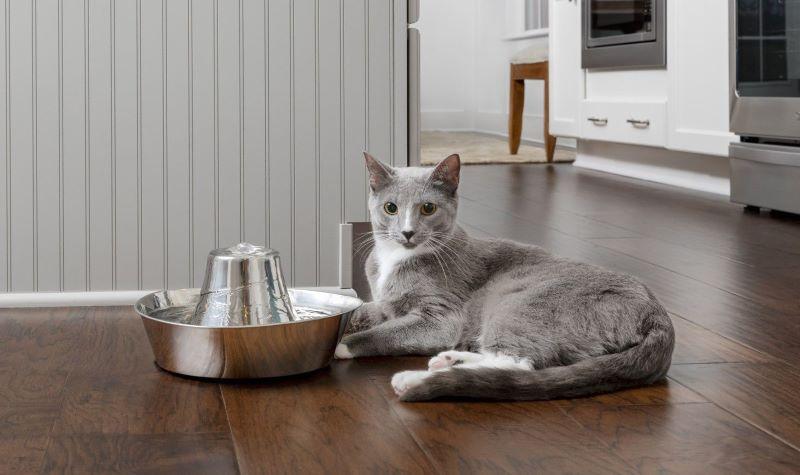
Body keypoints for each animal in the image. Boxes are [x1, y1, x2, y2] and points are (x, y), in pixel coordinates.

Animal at [332, 152, 676, 402]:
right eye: (390, 208)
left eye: (428, 208)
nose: (406, 232)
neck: (395, 259)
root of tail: (657, 316)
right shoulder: (384, 303)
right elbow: (363, 311)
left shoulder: (441, 317)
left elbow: (384, 332)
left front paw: (341, 345)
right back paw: (448, 361)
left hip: (518, 301)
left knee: (521, 363)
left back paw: (415, 378)